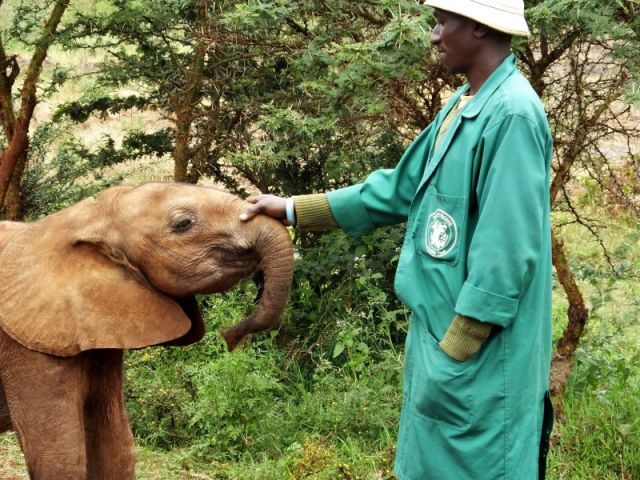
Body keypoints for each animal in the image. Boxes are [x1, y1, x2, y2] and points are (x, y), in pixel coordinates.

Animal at [0, 182, 294, 479]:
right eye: (183, 224)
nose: (229, 338)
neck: (87, 217)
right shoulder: (29, 344)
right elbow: (59, 457)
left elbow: (115, 445)